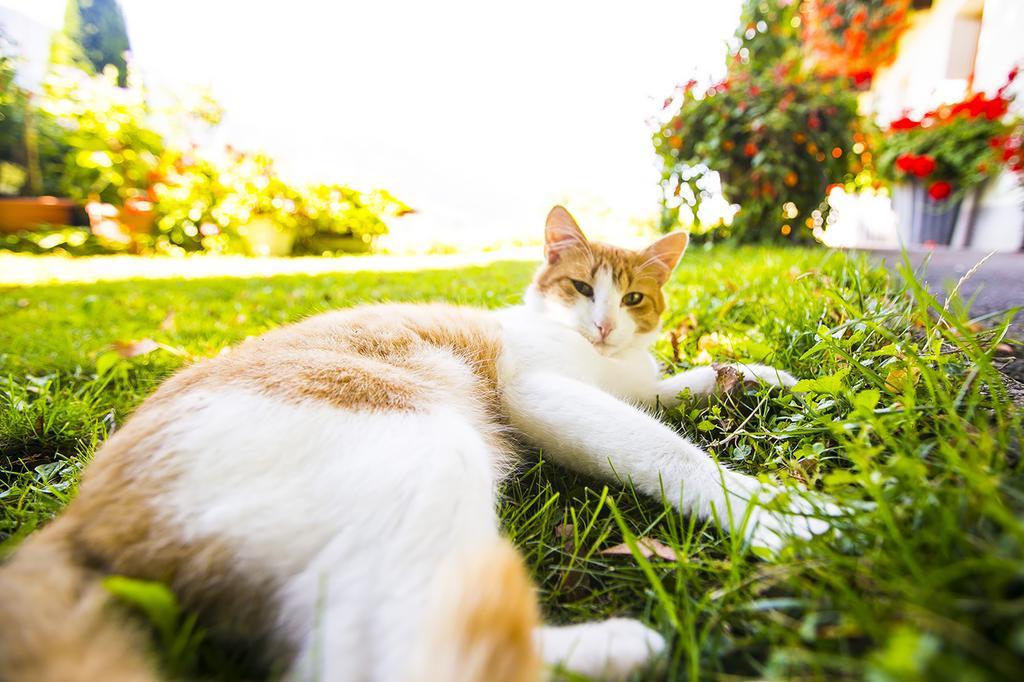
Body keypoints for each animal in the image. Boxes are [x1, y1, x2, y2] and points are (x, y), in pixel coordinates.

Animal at [0, 206, 827, 679]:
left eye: (631, 298)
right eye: (578, 288)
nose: (602, 326)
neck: (599, 359)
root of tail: (77, 515)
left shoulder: (631, 386)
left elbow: (683, 384)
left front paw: (759, 375)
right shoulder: (546, 395)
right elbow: (667, 451)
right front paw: (780, 515)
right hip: (420, 449)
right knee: (412, 658)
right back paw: (622, 649)